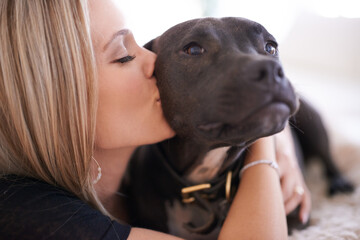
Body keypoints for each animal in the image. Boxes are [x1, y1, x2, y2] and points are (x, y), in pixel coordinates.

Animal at [119, 16, 352, 238]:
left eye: (271, 47)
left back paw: (340, 183)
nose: (271, 69)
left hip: (313, 122)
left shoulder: (297, 219)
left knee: (327, 157)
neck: (202, 182)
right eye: (193, 49)